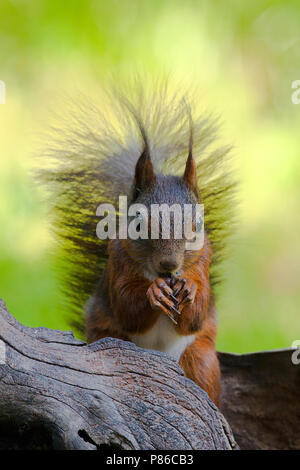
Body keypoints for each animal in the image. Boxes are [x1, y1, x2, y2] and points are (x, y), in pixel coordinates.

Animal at [41, 85, 234, 408]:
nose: (168, 266)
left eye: (197, 225)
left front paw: (189, 290)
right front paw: (153, 291)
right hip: (115, 345)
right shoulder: (117, 259)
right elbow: (126, 306)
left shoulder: (203, 261)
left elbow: (196, 315)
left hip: (200, 358)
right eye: (140, 224)